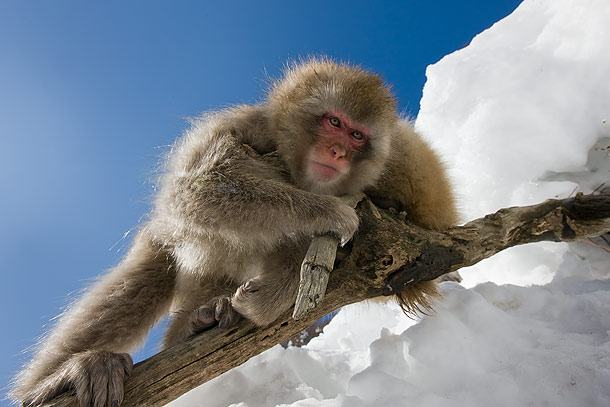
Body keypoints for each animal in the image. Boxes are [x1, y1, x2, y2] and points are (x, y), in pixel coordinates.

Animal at [11, 58, 454, 407]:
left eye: (357, 135)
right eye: (334, 122)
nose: (339, 152)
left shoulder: (399, 175)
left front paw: (269, 297)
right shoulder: (244, 123)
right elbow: (195, 190)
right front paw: (327, 211)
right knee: (156, 262)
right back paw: (63, 379)